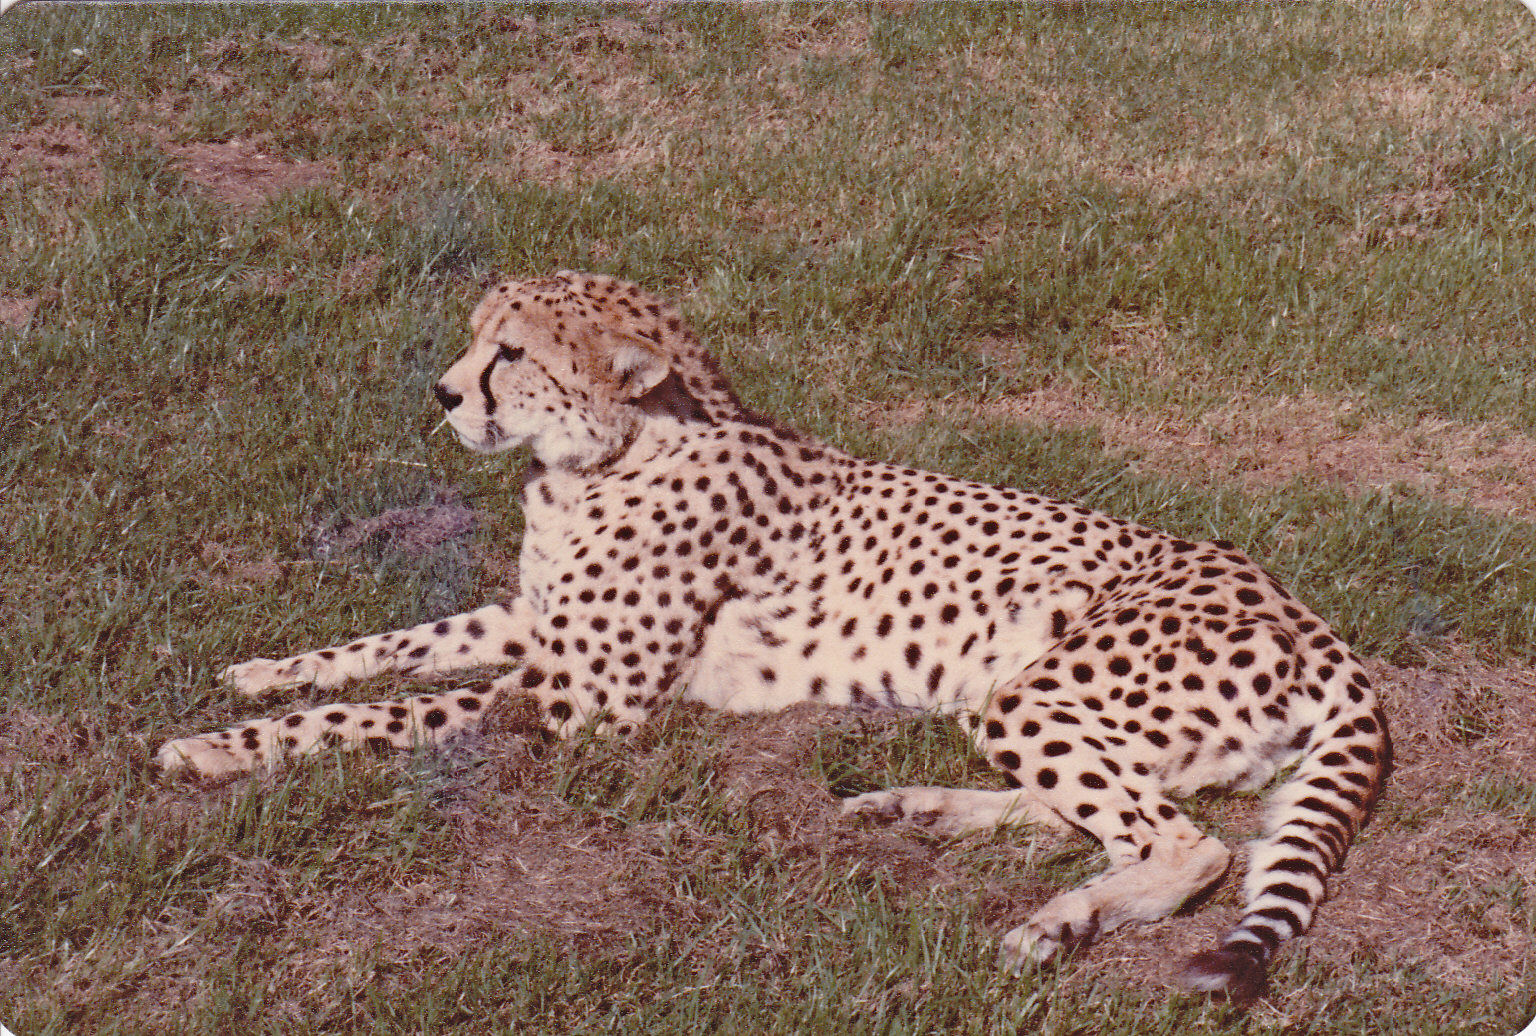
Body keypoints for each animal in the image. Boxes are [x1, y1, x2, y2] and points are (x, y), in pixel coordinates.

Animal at [156, 270, 1390, 1002]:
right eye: (475, 343)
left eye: (510, 353)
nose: (444, 394)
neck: (609, 454)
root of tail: (1315, 621)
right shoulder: (529, 623)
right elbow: (394, 643)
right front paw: (260, 670)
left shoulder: (583, 703)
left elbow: (384, 710)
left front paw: (215, 747)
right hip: (1030, 703)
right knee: (1110, 814)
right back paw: (919, 810)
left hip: (1042, 690)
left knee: (1189, 845)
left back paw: (1056, 922)